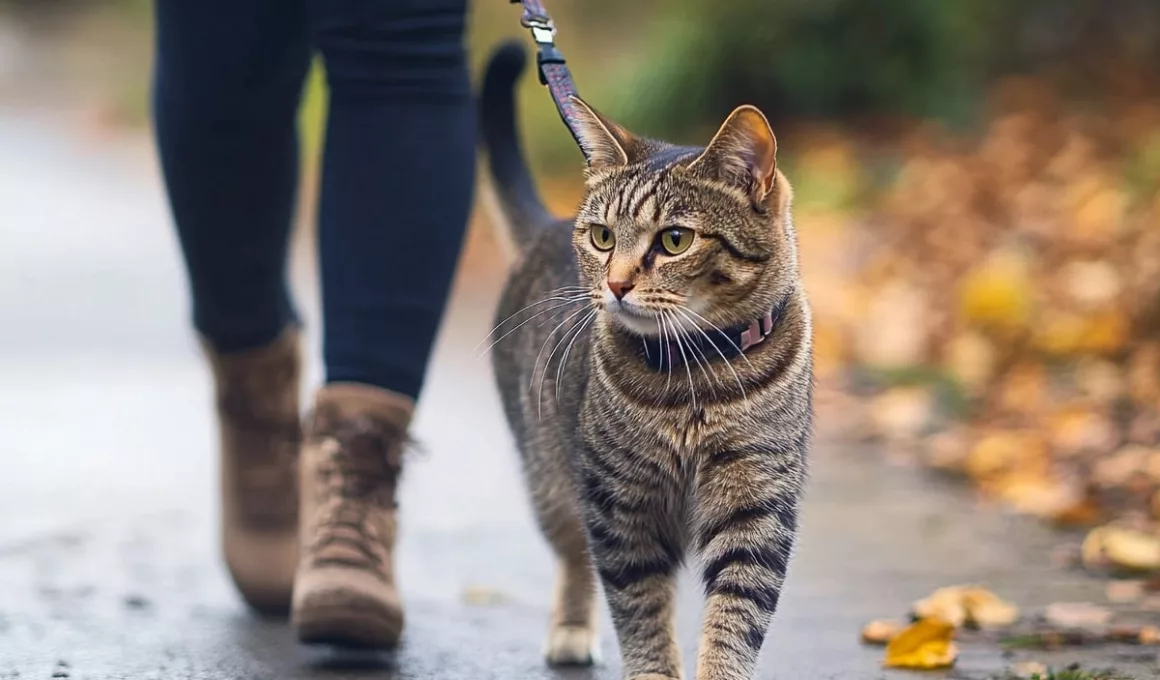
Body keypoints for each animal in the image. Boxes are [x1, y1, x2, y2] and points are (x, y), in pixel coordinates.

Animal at [475, 42, 812, 677]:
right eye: (603, 237)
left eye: (675, 240)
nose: (616, 283)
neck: (697, 372)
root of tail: (549, 224)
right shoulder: (620, 507)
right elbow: (640, 612)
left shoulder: (755, 503)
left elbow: (735, 618)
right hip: (551, 479)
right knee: (574, 554)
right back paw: (571, 629)